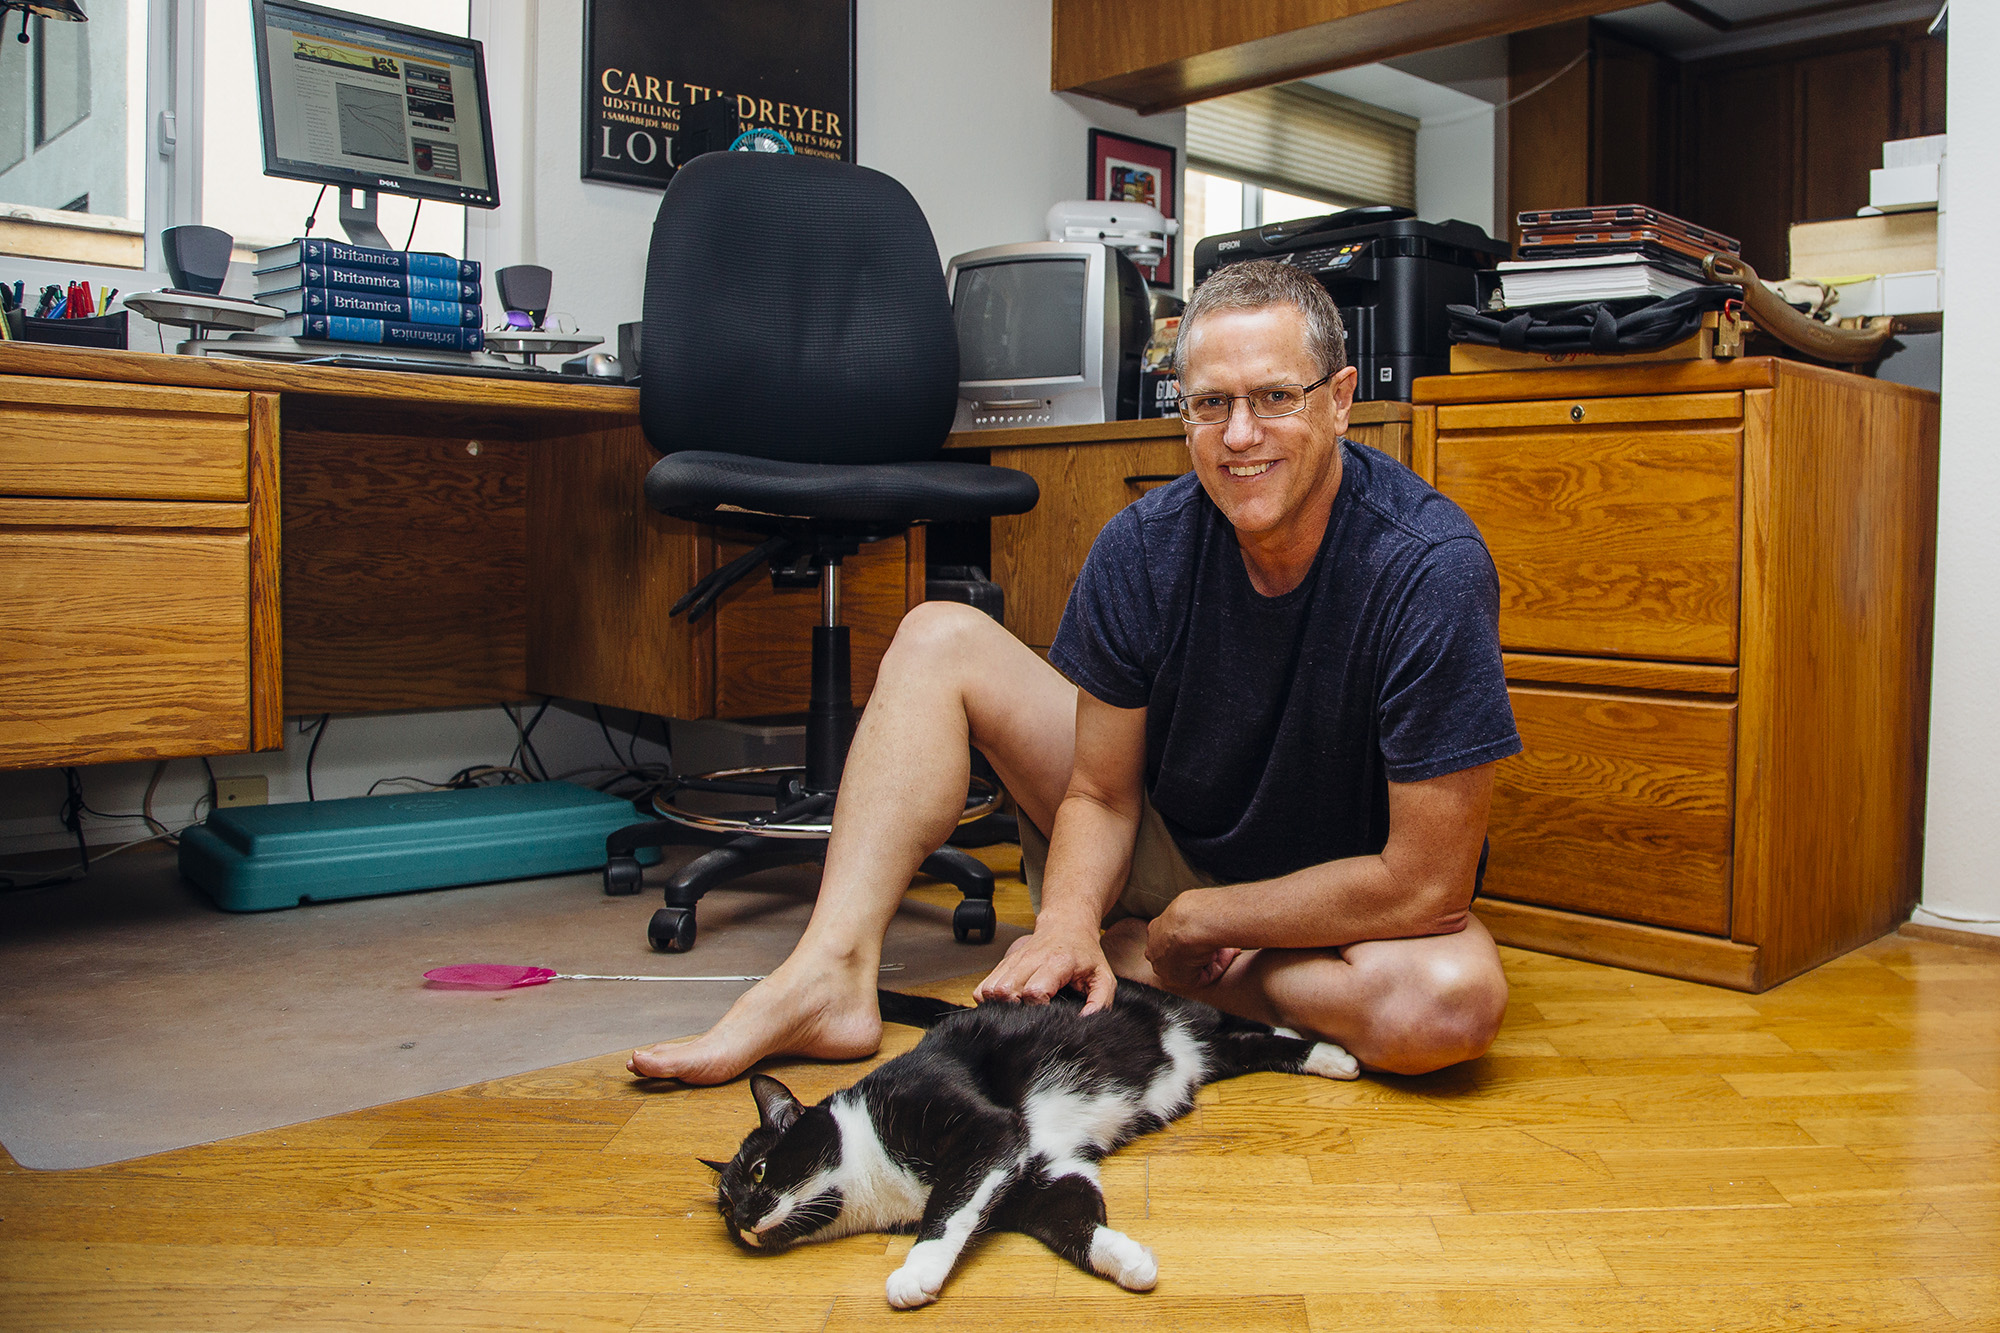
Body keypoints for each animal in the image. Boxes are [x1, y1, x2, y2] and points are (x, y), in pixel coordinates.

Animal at [704, 976, 1360, 1304]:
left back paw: (1332, 1050)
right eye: (724, 1207)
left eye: (759, 1171)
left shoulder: (983, 1130)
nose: (744, 1219)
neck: (876, 1177)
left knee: (1239, 1021)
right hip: (1206, 1056)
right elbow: (1074, 1221)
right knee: (1245, 1045)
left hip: (1178, 1008)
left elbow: (947, 1209)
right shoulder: (1044, 1172)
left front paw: (917, 1272)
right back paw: (1323, 1055)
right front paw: (1127, 1260)